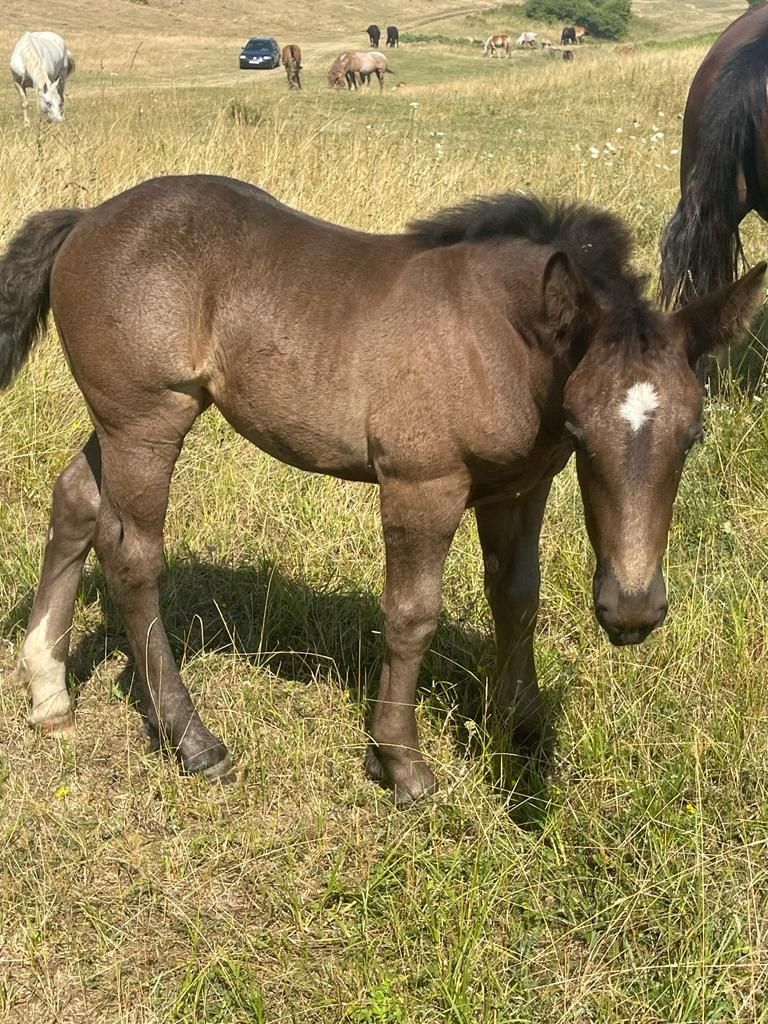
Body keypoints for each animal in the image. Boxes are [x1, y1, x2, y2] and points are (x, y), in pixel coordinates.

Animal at [0, 178, 765, 806]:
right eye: (583, 427)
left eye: (693, 433)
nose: (632, 609)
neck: (499, 340)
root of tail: (86, 219)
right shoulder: (421, 485)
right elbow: (411, 615)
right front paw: (400, 763)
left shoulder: (518, 488)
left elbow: (517, 595)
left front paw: (519, 727)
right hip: (148, 417)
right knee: (133, 557)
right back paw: (193, 739)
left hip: (121, 420)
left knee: (75, 500)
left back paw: (49, 691)